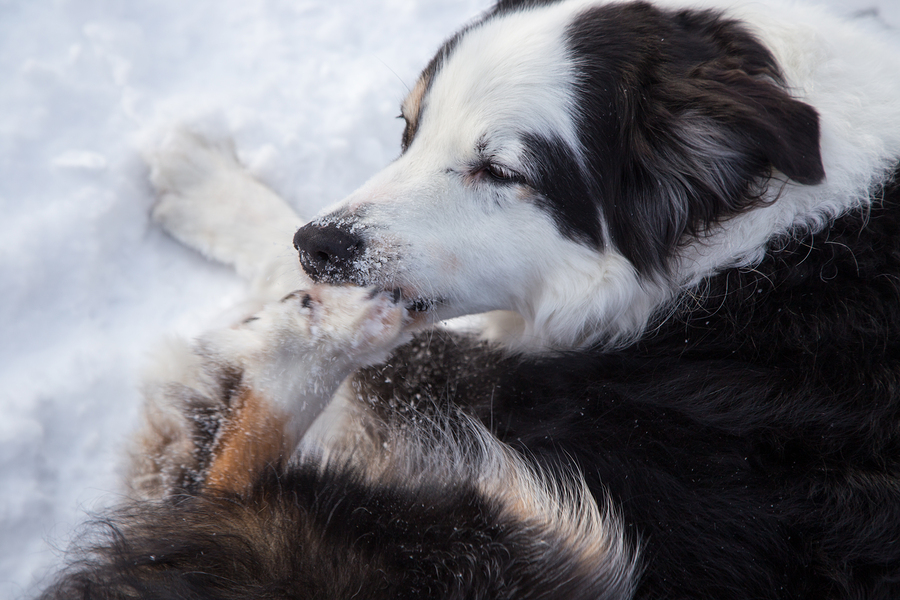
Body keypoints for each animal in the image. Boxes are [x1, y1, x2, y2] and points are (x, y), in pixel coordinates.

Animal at [37, 0, 900, 596]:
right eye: (408, 127)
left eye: (501, 171)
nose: (320, 245)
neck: (759, 241)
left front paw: (210, 185)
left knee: (218, 481)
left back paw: (308, 345)